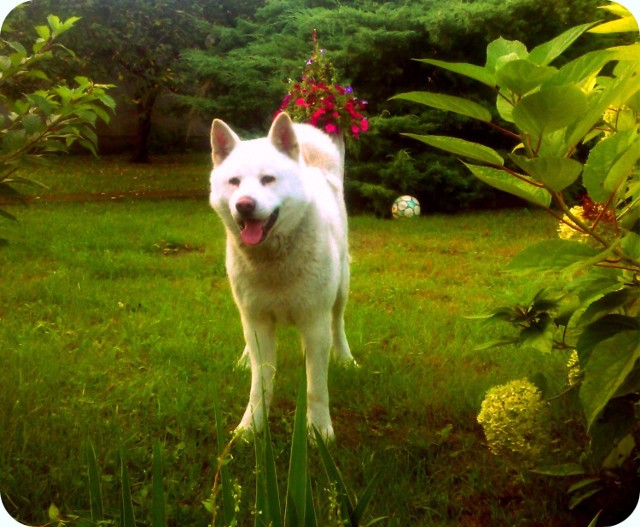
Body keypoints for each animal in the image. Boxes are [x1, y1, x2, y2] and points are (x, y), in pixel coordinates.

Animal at [209, 112, 356, 442]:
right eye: (234, 182)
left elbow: (316, 387)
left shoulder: (315, 323)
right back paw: (243, 359)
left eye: (268, 179)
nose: (244, 205)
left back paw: (345, 358)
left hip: (341, 289)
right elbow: (259, 383)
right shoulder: (257, 321)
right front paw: (250, 428)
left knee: (339, 322)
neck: (272, 264)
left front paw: (319, 432)